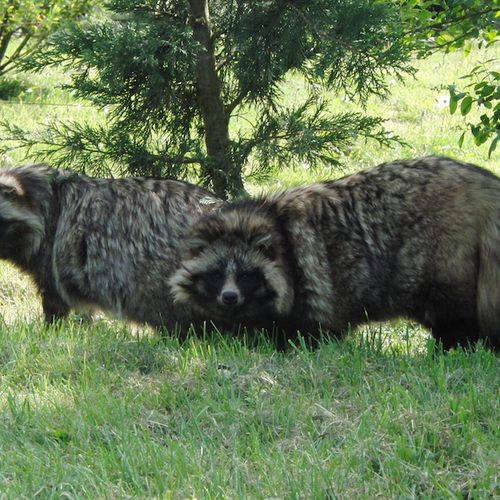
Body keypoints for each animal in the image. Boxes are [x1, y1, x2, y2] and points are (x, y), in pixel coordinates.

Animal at [169, 158, 500, 350]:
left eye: (247, 275)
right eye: (215, 274)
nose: (229, 297)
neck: (273, 222)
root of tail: (482, 183)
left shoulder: (308, 281)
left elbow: (311, 330)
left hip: (444, 254)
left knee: (453, 310)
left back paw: (456, 345)